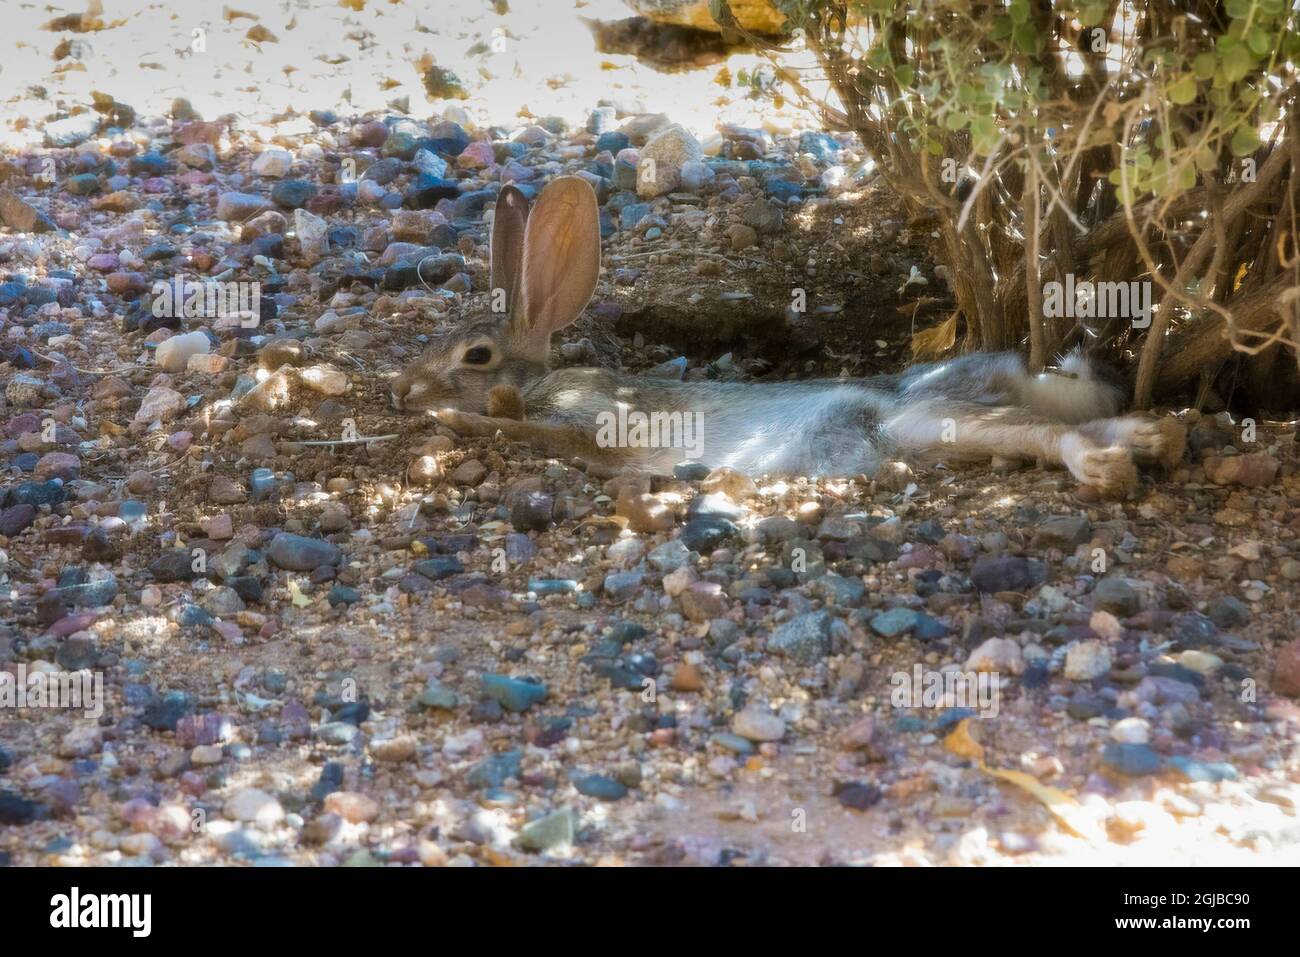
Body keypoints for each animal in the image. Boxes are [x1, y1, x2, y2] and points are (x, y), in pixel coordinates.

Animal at [391, 175, 1186, 497]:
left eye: (476, 354)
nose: (401, 391)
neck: (537, 380)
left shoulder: (586, 420)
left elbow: (529, 429)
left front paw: (456, 414)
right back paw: (1154, 440)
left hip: (923, 415)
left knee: (1047, 433)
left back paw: (1106, 465)